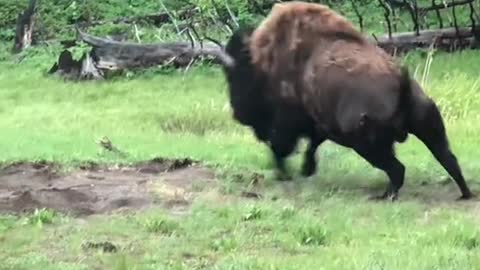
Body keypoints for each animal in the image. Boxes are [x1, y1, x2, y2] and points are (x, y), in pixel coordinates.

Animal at [219, 1, 474, 200]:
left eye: (236, 78)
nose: (237, 113)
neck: (262, 63)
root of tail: (402, 84)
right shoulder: (320, 125)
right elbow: (311, 145)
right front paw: (305, 170)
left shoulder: (288, 125)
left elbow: (282, 149)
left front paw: (286, 174)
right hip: (428, 126)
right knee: (449, 160)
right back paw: (464, 194)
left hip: (367, 144)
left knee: (397, 169)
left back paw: (384, 196)